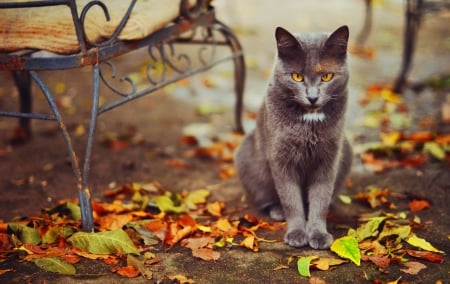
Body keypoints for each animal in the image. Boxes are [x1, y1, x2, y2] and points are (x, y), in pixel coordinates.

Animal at [234, 26, 354, 248]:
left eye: (327, 76)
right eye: (297, 77)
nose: (313, 97)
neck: (310, 121)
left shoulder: (328, 159)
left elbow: (320, 199)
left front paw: (318, 234)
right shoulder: (281, 159)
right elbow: (291, 200)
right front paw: (297, 233)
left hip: (347, 149)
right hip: (246, 155)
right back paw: (277, 210)